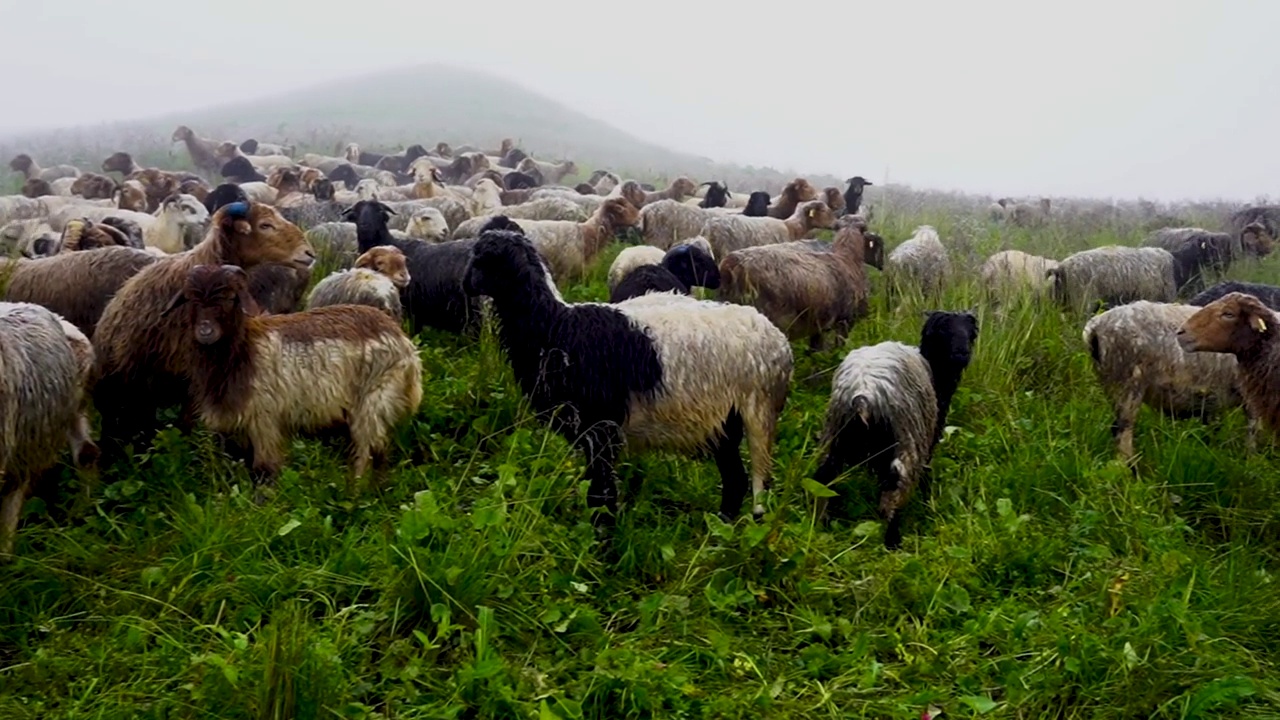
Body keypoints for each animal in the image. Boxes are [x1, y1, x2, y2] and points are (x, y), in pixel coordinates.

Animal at [465, 229, 793, 520]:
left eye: (484, 259)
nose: (466, 284)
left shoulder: (601, 430)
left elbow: (601, 496)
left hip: (757, 412)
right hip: (726, 420)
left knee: (755, 484)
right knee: (735, 477)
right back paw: (721, 527)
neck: (556, 328)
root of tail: (779, 341)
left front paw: (602, 544)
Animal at [808, 304, 977, 545]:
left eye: (971, 334)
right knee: (894, 490)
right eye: (943, 331)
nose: (962, 354)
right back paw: (893, 540)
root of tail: (863, 395)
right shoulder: (926, 441)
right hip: (905, 438)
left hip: (835, 433)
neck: (936, 376)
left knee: (824, 477)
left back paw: (823, 522)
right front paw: (927, 502)